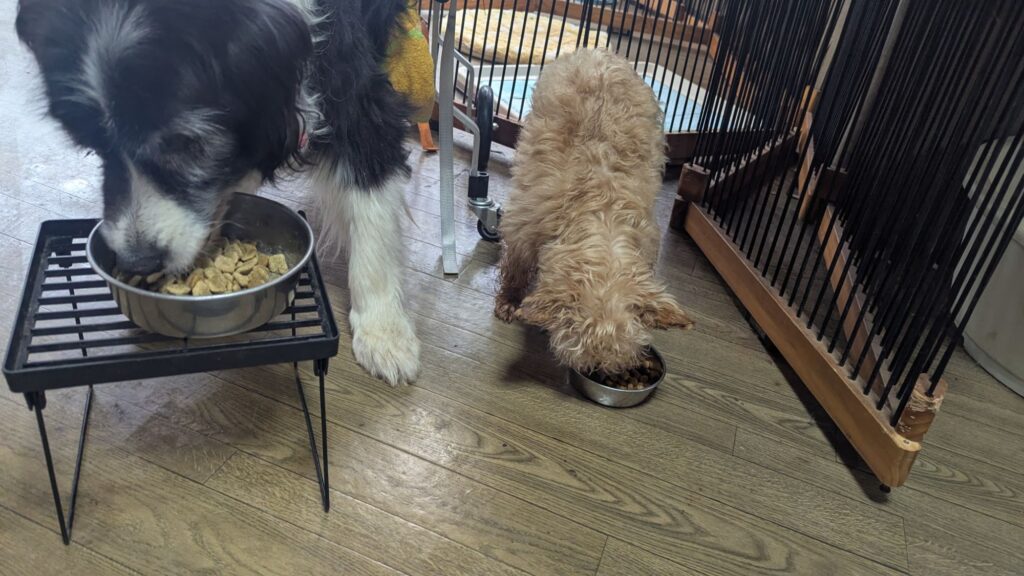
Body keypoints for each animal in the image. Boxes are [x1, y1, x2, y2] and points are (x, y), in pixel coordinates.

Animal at [16, 0, 421, 385]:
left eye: (187, 145)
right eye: (91, 147)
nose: (138, 262)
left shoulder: (352, 86)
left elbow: (371, 195)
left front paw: (385, 334)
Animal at [495, 49, 693, 374]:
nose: (598, 372)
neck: (602, 217)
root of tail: (602, 52)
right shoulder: (524, 225)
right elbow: (517, 265)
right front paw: (510, 299)